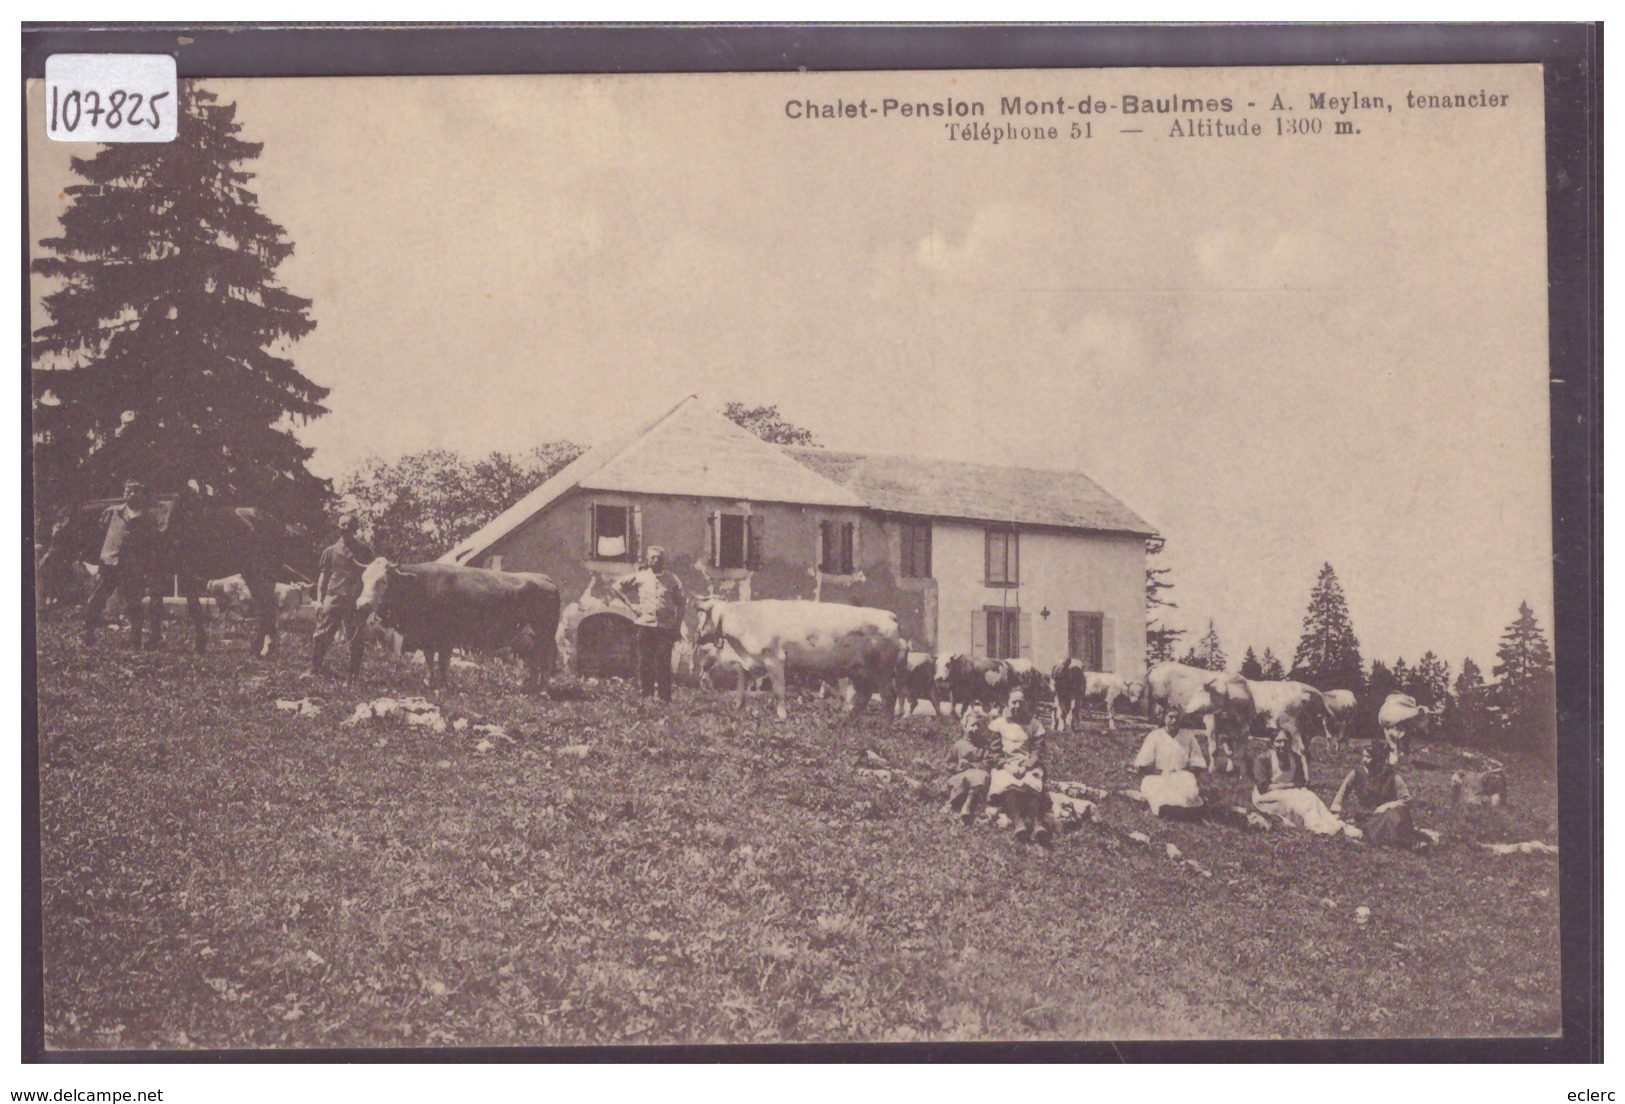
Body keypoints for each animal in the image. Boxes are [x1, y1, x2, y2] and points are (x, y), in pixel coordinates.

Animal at [354, 562, 559, 689]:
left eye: (382, 580)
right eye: (363, 579)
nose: (362, 604)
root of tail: (545, 578)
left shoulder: (447, 636)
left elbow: (444, 662)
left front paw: (445, 684)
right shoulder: (427, 636)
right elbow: (430, 659)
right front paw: (430, 681)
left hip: (545, 635)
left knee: (546, 661)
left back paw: (541, 689)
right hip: (528, 639)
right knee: (534, 662)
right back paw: (530, 688)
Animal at [692, 595, 910, 725]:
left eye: (703, 615)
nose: (696, 636)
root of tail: (888, 615)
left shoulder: (774, 659)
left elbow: (778, 691)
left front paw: (781, 715)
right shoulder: (748, 662)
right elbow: (740, 689)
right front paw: (737, 710)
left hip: (882, 671)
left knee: (889, 696)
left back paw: (884, 724)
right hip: (859, 671)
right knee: (864, 697)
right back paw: (845, 720)